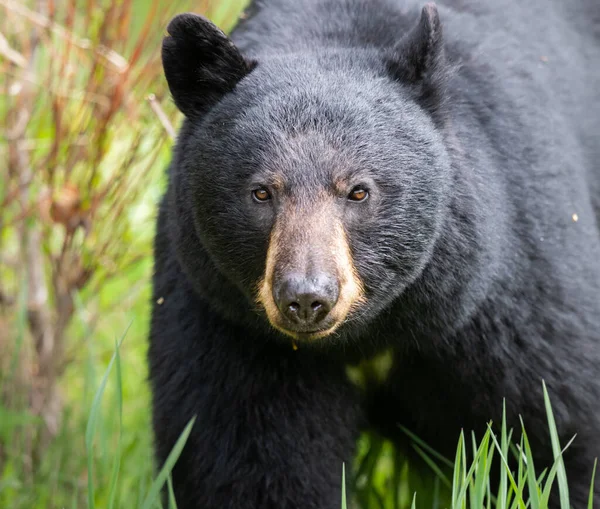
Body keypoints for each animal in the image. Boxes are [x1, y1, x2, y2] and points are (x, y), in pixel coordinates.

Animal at [150, 0, 600, 506]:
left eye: (359, 191)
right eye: (261, 192)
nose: (306, 297)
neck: (371, 333)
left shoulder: (508, 301)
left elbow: (555, 433)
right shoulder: (226, 321)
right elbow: (243, 458)